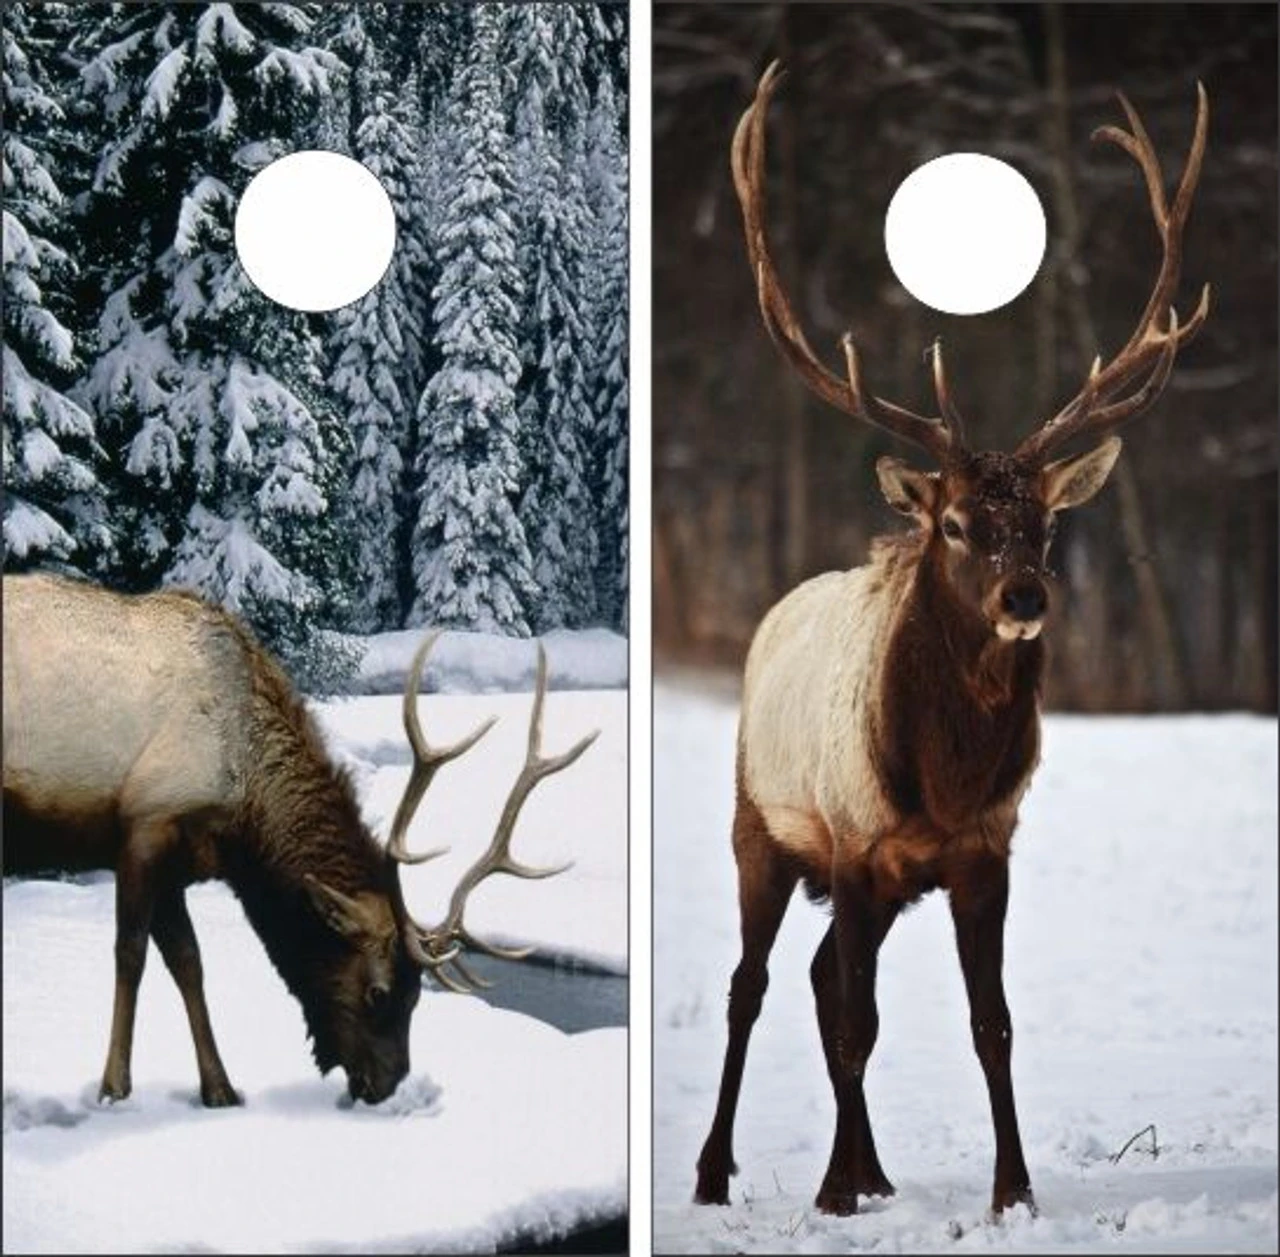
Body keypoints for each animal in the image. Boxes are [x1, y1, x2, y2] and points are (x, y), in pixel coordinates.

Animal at [2, 572, 597, 1107]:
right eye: (379, 992)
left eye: (417, 998)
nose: (387, 1086)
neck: (242, 811)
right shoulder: (146, 822)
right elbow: (131, 954)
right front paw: (113, 1088)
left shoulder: (176, 858)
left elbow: (189, 962)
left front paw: (221, 1089)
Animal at [694, 63, 1208, 1217]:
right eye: (960, 523)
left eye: (1046, 522)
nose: (1024, 592)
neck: (942, 773)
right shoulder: (849, 843)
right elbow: (853, 1024)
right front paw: (832, 1197)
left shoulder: (983, 851)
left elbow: (990, 1025)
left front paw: (1010, 1191)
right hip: (759, 825)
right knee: (753, 984)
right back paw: (716, 1171)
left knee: (813, 979)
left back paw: (875, 1168)